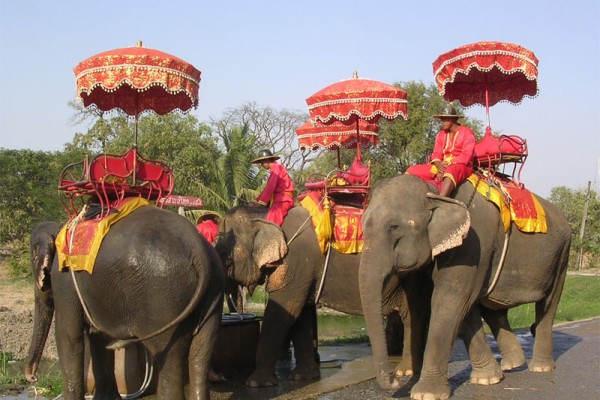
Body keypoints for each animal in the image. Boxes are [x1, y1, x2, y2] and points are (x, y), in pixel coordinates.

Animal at [24, 205, 227, 400]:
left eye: (33, 259)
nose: (32, 377)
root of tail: (199, 252)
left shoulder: (64, 278)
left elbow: (68, 335)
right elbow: (99, 337)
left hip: (163, 297)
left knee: (169, 357)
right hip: (212, 293)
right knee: (200, 353)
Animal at [214, 205, 432, 386]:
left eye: (224, 252)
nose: (222, 378)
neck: (266, 213)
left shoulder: (295, 261)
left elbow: (284, 312)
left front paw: (256, 384)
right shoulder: (303, 271)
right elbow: (300, 315)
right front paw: (303, 378)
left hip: (415, 274)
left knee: (412, 315)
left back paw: (407, 371)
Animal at [358, 175, 568, 400]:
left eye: (394, 227)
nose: (395, 380)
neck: (434, 192)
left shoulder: (473, 243)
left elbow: (450, 300)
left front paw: (426, 394)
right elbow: (464, 307)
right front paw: (486, 379)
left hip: (562, 254)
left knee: (548, 303)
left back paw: (540, 367)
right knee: (492, 306)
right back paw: (513, 364)